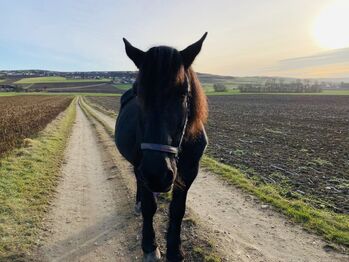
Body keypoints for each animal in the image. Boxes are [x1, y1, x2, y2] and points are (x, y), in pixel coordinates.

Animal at [115, 33, 207, 260]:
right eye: (138, 93)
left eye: (183, 93)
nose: (157, 173)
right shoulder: (143, 167)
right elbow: (150, 207)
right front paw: (150, 245)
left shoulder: (189, 171)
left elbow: (177, 210)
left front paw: (175, 250)